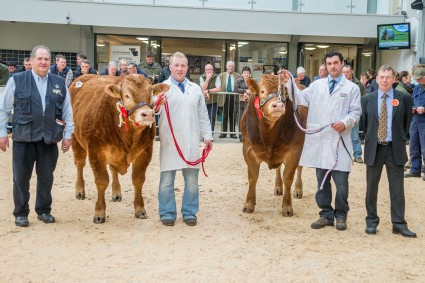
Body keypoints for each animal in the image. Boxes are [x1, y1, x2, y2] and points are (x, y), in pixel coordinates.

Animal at [68, 75, 168, 224]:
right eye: (126, 95)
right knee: (80, 164)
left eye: (151, 94)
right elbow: (102, 181)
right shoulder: (96, 152)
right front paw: (99, 212)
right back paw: (80, 190)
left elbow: (138, 180)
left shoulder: (145, 152)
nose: (148, 114)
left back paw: (116, 193)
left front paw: (140, 209)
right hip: (75, 138)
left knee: (113, 169)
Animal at [240, 74, 306, 216]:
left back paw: (298, 190)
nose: (278, 105)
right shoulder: (248, 150)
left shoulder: (295, 151)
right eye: (262, 91)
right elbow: (253, 178)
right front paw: (249, 204)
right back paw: (278, 187)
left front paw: (287, 207)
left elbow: (288, 178)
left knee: (299, 168)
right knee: (278, 168)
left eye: (284, 92)